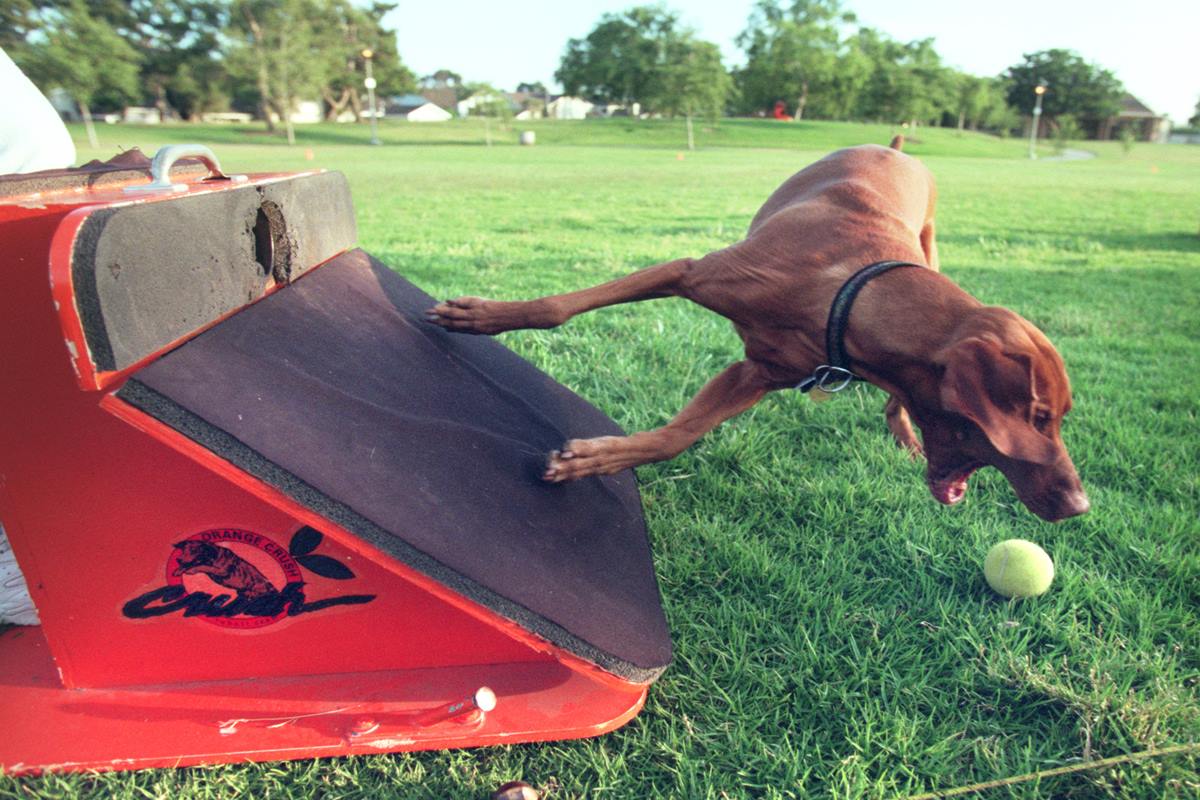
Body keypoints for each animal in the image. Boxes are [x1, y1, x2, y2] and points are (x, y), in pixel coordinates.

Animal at [427, 140, 1094, 522]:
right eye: (1039, 418)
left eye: (1056, 418)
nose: (1080, 506)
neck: (850, 293)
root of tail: (896, 145)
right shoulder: (688, 273)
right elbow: (560, 308)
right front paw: (481, 318)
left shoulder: (759, 373)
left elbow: (675, 439)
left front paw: (590, 461)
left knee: (894, 399)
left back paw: (903, 432)